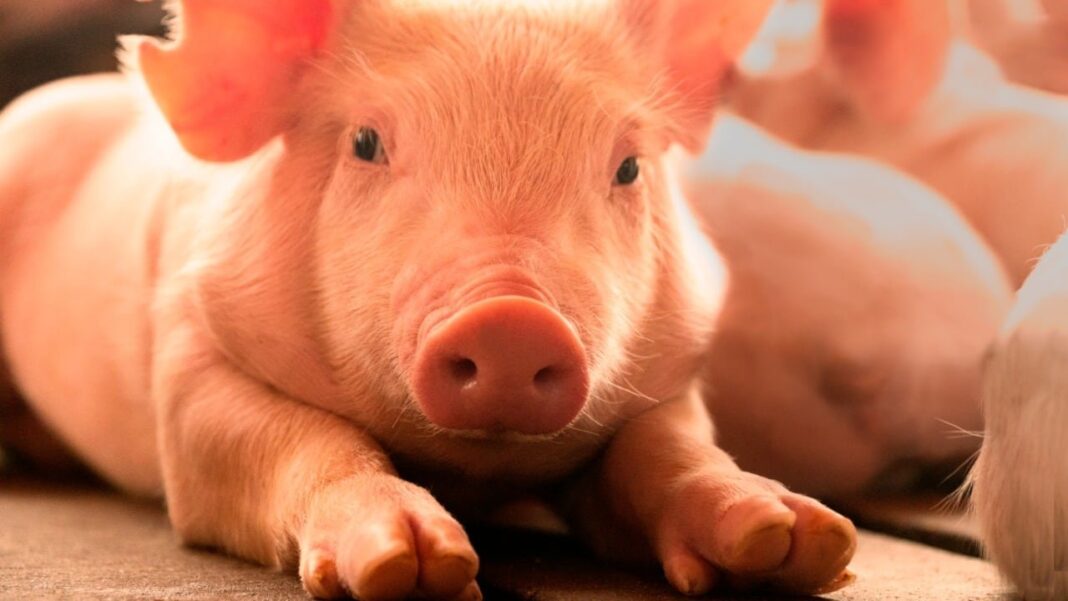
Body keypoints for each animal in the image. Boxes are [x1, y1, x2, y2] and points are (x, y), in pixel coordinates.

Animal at [0, 0, 859, 599]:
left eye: (628, 167)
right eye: (366, 144)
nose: (514, 318)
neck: (473, 474)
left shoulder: (670, 377)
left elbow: (666, 449)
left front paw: (792, 543)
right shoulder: (191, 349)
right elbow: (294, 438)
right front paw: (412, 565)